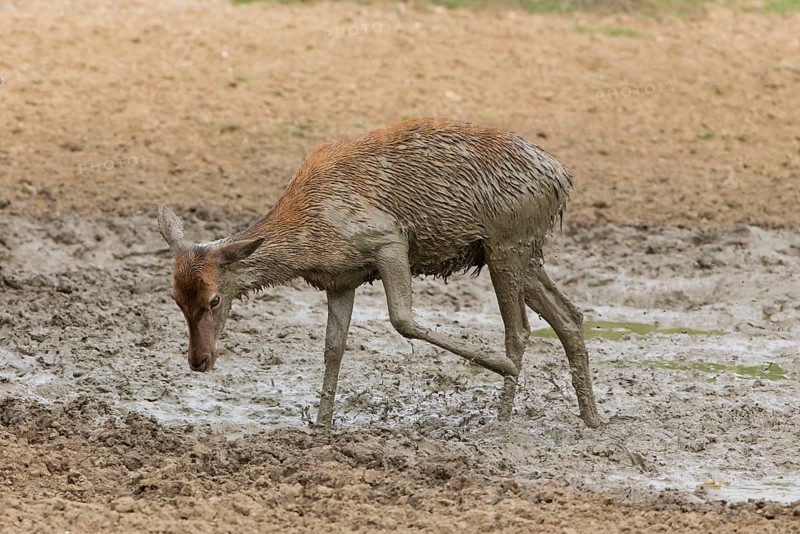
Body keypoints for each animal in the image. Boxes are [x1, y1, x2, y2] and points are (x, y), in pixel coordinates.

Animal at [157, 118, 601, 429]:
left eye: (215, 298)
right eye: (176, 299)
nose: (199, 361)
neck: (310, 237)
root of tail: (563, 177)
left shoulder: (387, 239)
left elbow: (402, 319)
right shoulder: (341, 279)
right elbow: (333, 347)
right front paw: (321, 425)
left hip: (506, 242)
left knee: (520, 329)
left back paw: (504, 415)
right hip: (527, 252)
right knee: (570, 316)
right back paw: (592, 419)